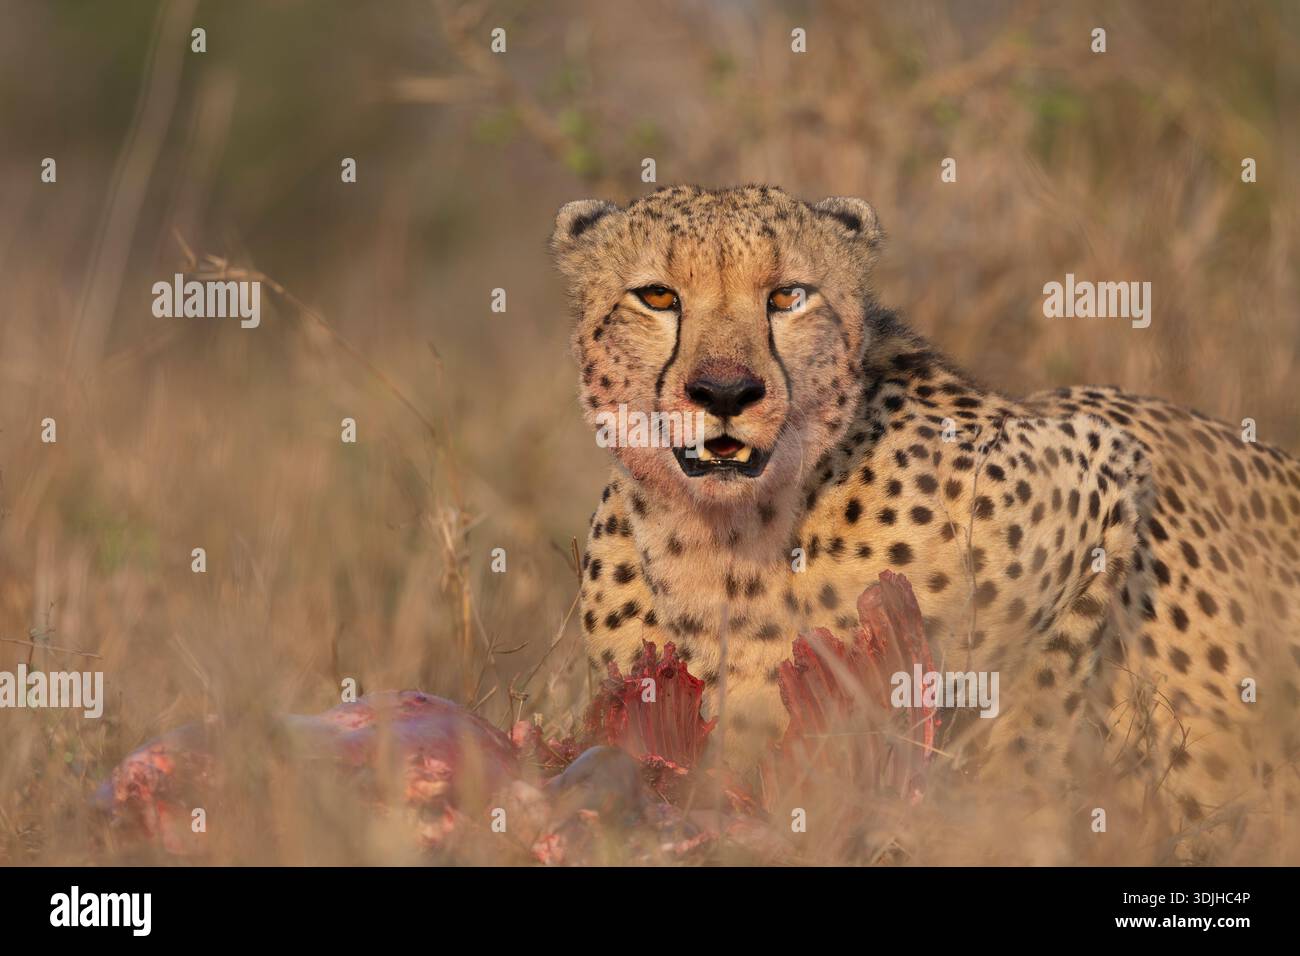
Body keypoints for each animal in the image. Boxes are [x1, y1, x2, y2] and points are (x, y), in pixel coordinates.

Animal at [551, 184, 1300, 853]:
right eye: (657, 296)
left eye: (788, 296)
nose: (726, 390)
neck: (727, 539)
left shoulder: (1102, 464)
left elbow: (1035, 710)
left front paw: (1007, 822)